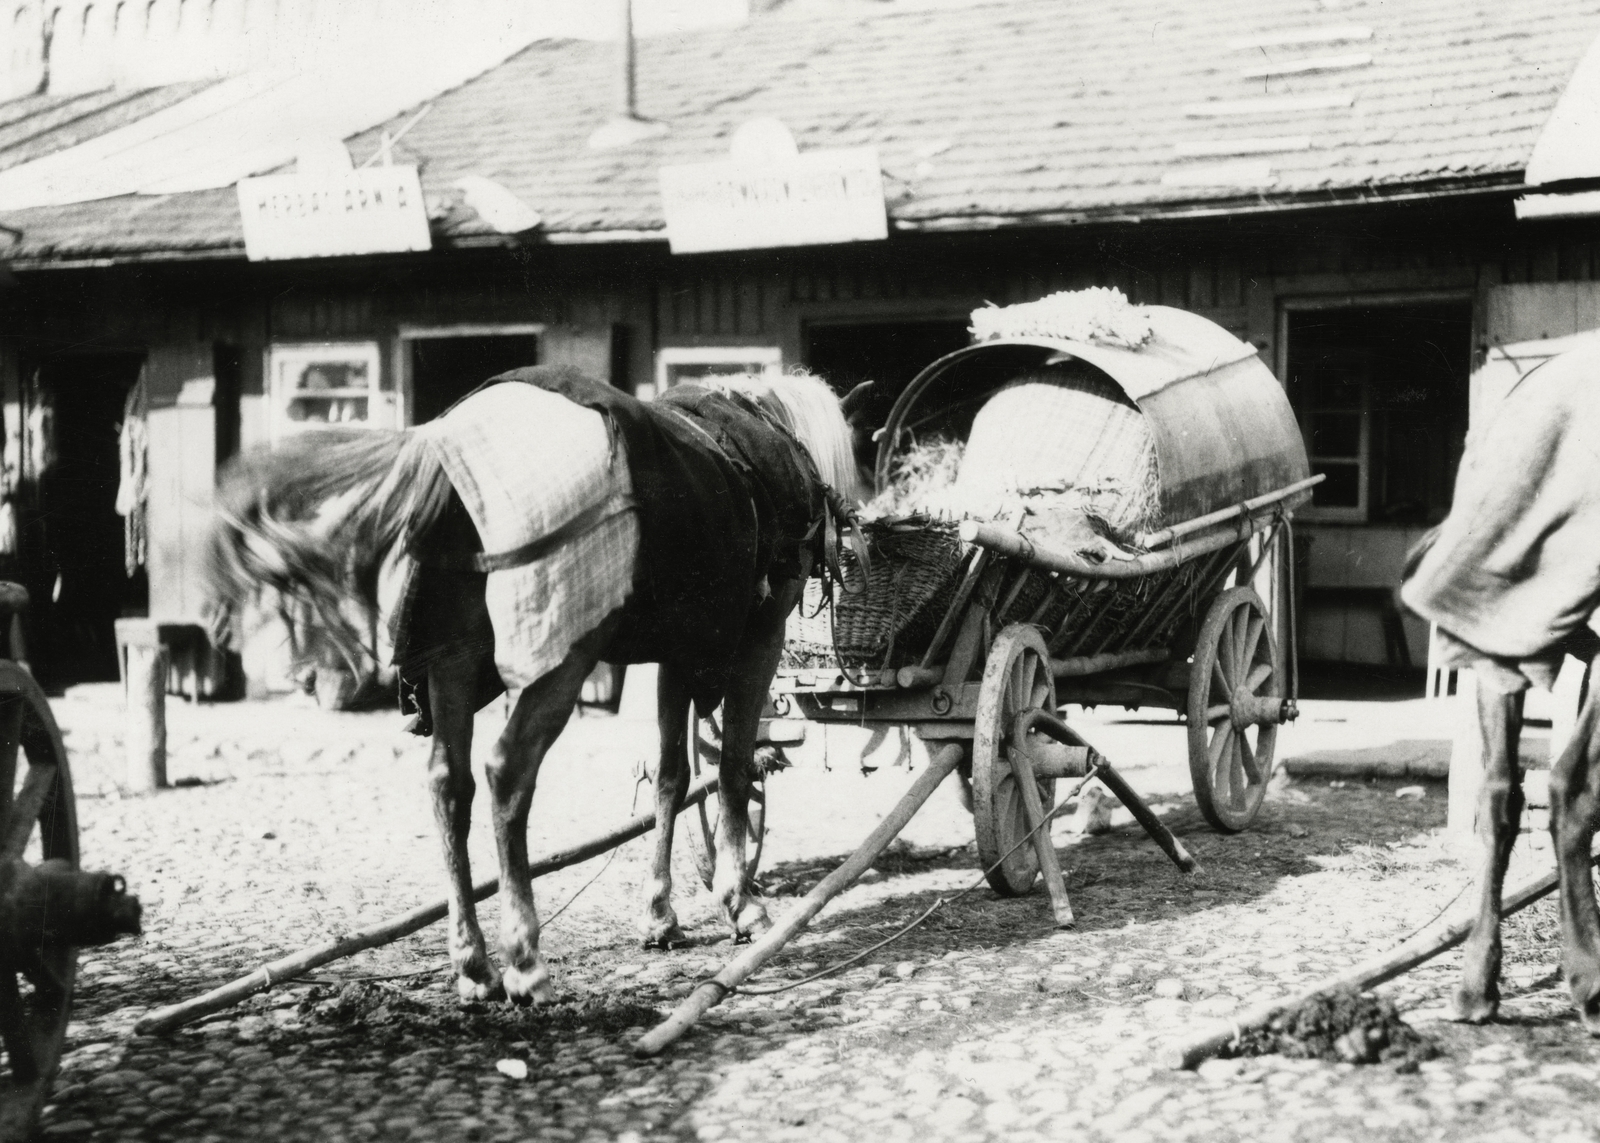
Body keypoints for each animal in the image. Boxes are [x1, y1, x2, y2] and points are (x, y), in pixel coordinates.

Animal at [211, 364, 864, 998]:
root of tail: (448, 442)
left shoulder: (676, 655)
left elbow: (671, 778)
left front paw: (660, 913)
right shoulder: (759, 638)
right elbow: (731, 768)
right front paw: (739, 902)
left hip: (453, 662)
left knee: (449, 785)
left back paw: (473, 961)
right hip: (554, 664)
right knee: (507, 774)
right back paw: (523, 956)